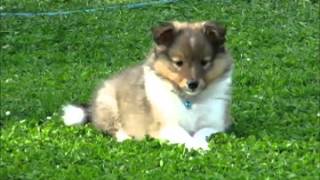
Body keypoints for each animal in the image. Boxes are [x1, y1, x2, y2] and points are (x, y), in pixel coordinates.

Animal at [62, 21, 232, 150]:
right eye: (178, 63)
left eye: (204, 62)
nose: (192, 84)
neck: (190, 100)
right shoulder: (164, 125)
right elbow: (183, 134)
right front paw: (195, 146)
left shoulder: (216, 124)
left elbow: (201, 132)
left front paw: (200, 144)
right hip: (109, 103)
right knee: (112, 128)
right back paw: (126, 137)